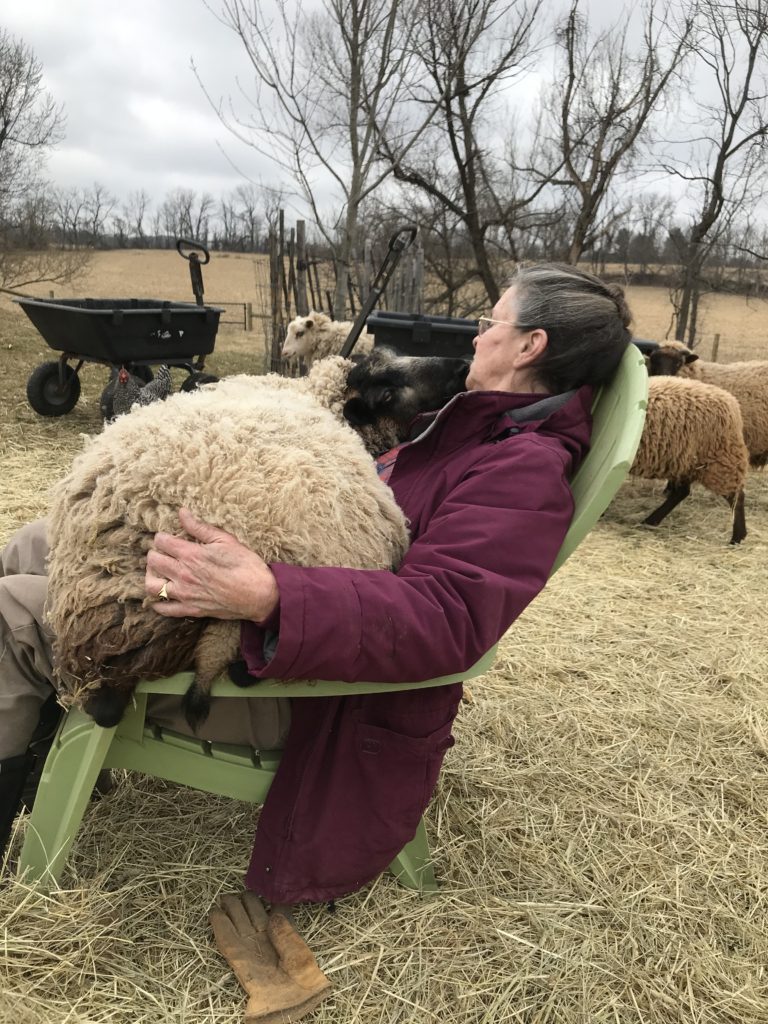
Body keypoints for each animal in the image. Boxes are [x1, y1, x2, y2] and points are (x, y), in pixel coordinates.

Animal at [630, 376, 753, 548]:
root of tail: (732, 403)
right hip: (685, 463)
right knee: (681, 493)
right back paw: (651, 521)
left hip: (721, 462)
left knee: (736, 497)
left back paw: (737, 537)